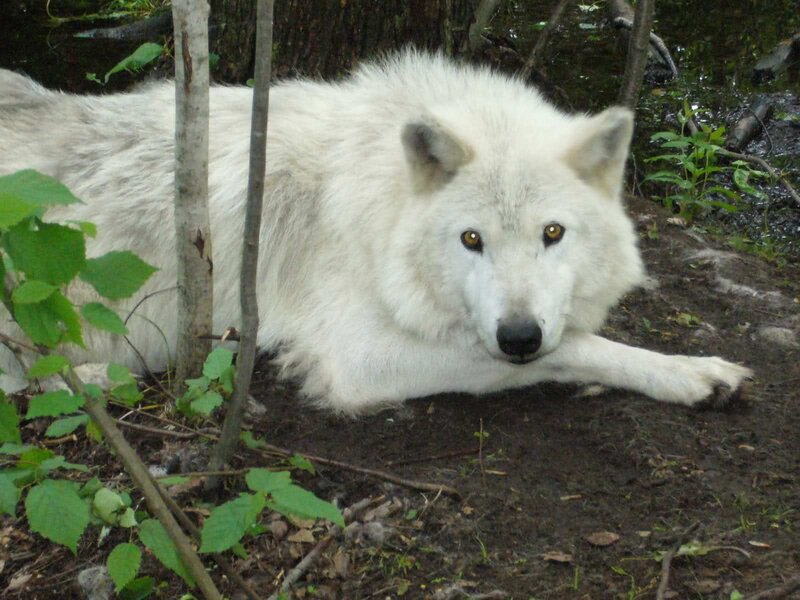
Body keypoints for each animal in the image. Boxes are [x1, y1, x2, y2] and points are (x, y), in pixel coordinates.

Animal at [0, 52, 751, 413]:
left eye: (554, 232)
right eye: (471, 240)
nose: (517, 336)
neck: (382, 201)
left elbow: (574, 342)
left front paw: (690, 372)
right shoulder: (358, 359)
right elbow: (578, 349)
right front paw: (688, 372)